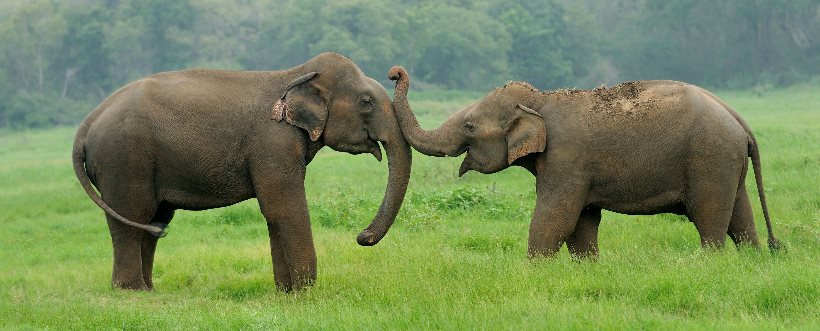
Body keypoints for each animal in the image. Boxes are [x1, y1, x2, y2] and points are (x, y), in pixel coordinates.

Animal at [72, 53, 410, 292]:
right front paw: (306, 292)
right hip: (124, 159)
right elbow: (284, 207)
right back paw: (131, 292)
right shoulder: (272, 143)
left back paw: (148, 289)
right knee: (132, 215)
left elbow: (275, 212)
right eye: (366, 102)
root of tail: (86, 125)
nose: (362, 236)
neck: (295, 73)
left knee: (154, 220)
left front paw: (286, 292)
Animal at [386, 65, 780, 260]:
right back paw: (753, 261)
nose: (394, 72)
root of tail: (738, 118)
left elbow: (556, 217)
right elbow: (582, 222)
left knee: (709, 217)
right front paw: (586, 268)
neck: (540, 101)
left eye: (469, 125)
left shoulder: (567, 159)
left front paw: (533, 270)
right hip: (726, 161)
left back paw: (708, 264)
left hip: (709, 158)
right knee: (740, 217)